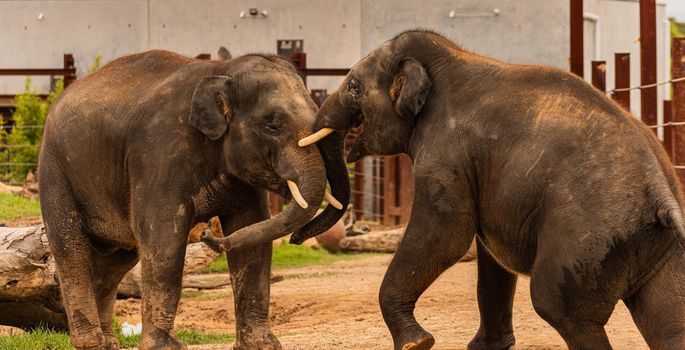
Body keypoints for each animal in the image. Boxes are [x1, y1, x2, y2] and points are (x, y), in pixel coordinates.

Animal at [36, 50, 344, 348]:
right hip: (54, 172)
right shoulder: (160, 153)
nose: (207, 233)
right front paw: (165, 346)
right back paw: (90, 342)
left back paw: (107, 344)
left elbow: (252, 234)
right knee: (72, 249)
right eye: (272, 126)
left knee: (117, 260)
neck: (222, 69)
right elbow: (164, 239)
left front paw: (262, 345)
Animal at [296, 30, 684, 350]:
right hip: (652, 243)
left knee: (562, 310)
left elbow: (446, 236)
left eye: (353, 87)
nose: (298, 239)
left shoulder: (445, 154)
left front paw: (416, 344)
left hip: (584, 236)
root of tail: (659, 188)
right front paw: (483, 348)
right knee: (668, 325)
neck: (448, 59)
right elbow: (488, 257)